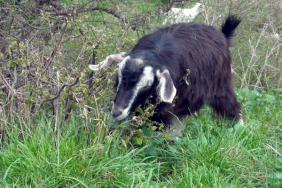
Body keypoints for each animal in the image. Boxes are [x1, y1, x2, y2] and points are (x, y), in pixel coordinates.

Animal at [89, 15, 243, 137]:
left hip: (221, 87)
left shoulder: (164, 110)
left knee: (234, 107)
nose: (116, 112)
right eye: (119, 76)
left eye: (147, 85)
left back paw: (240, 129)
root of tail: (223, 36)